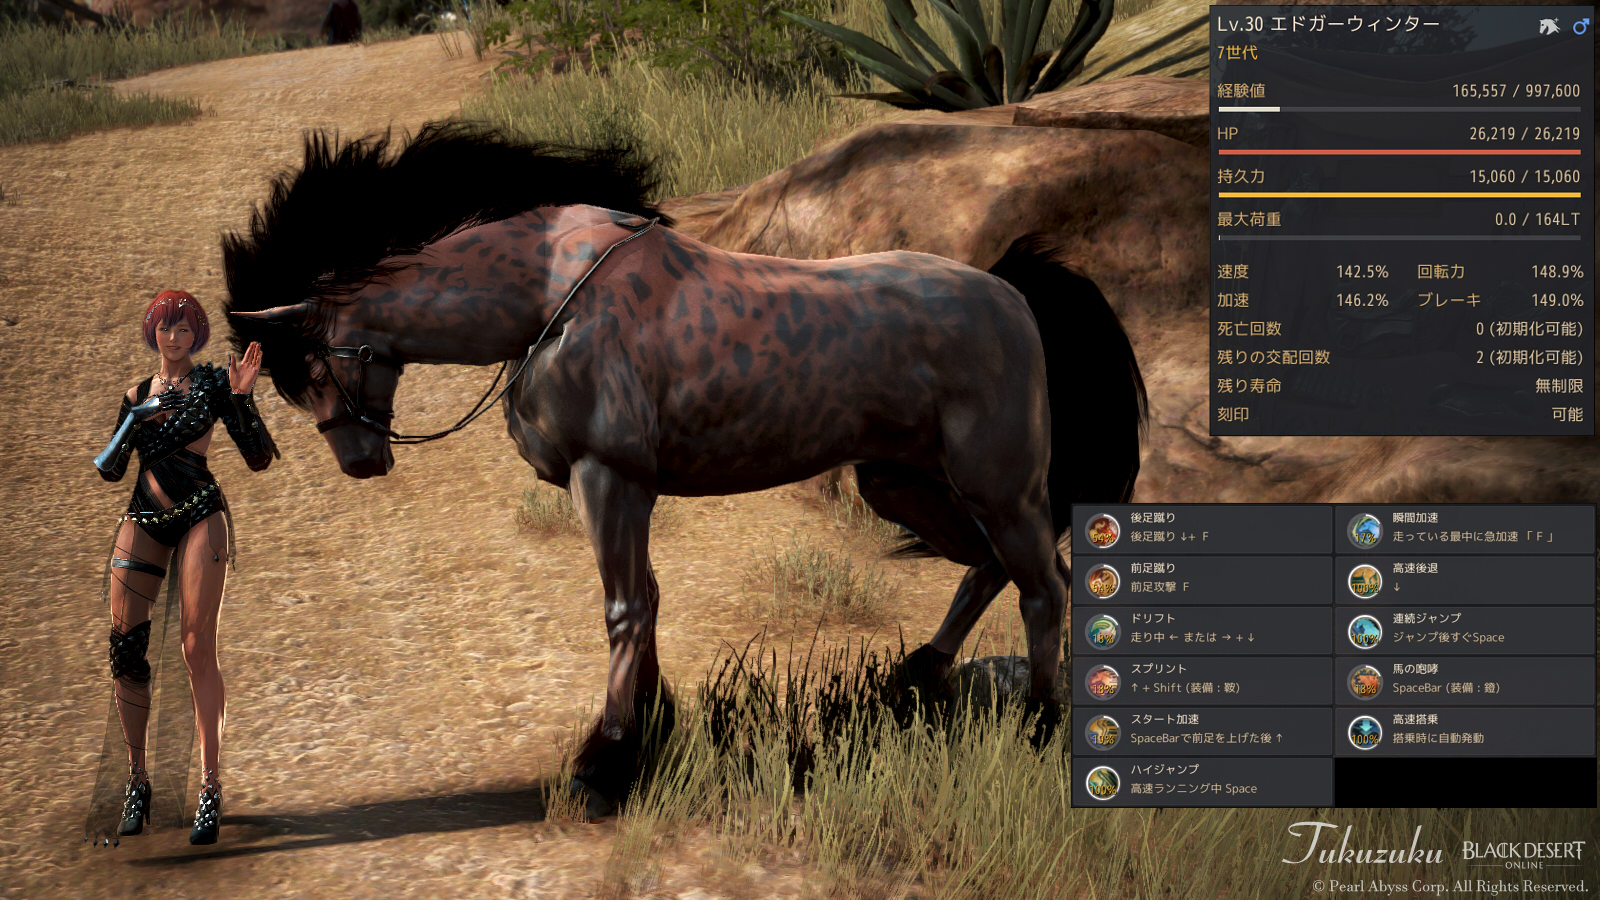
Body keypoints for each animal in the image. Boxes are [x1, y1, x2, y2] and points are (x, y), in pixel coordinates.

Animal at [223, 122, 1147, 813]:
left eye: (311, 369)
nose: (361, 461)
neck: (549, 297)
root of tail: (1013, 296)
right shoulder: (623, 489)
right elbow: (650, 602)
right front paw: (649, 730)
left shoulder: (610, 477)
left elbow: (626, 608)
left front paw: (605, 767)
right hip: (907, 483)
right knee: (999, 569)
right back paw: (918, 677)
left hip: (997, 486)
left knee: (1043, 587)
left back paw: (1040, 727)